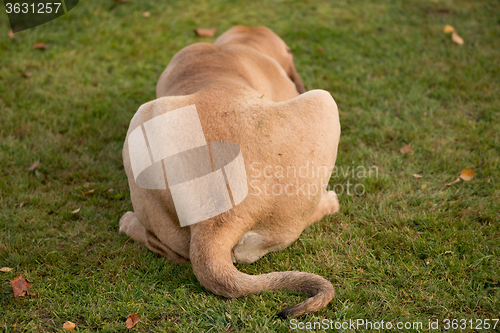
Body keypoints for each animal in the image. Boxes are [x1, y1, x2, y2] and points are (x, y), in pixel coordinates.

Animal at [119, 25, 342, 316]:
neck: (238, 45)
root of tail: (216, 220)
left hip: (140, 127)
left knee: (162, 246)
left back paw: (128, 223)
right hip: (324, 101)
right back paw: (328, 202)